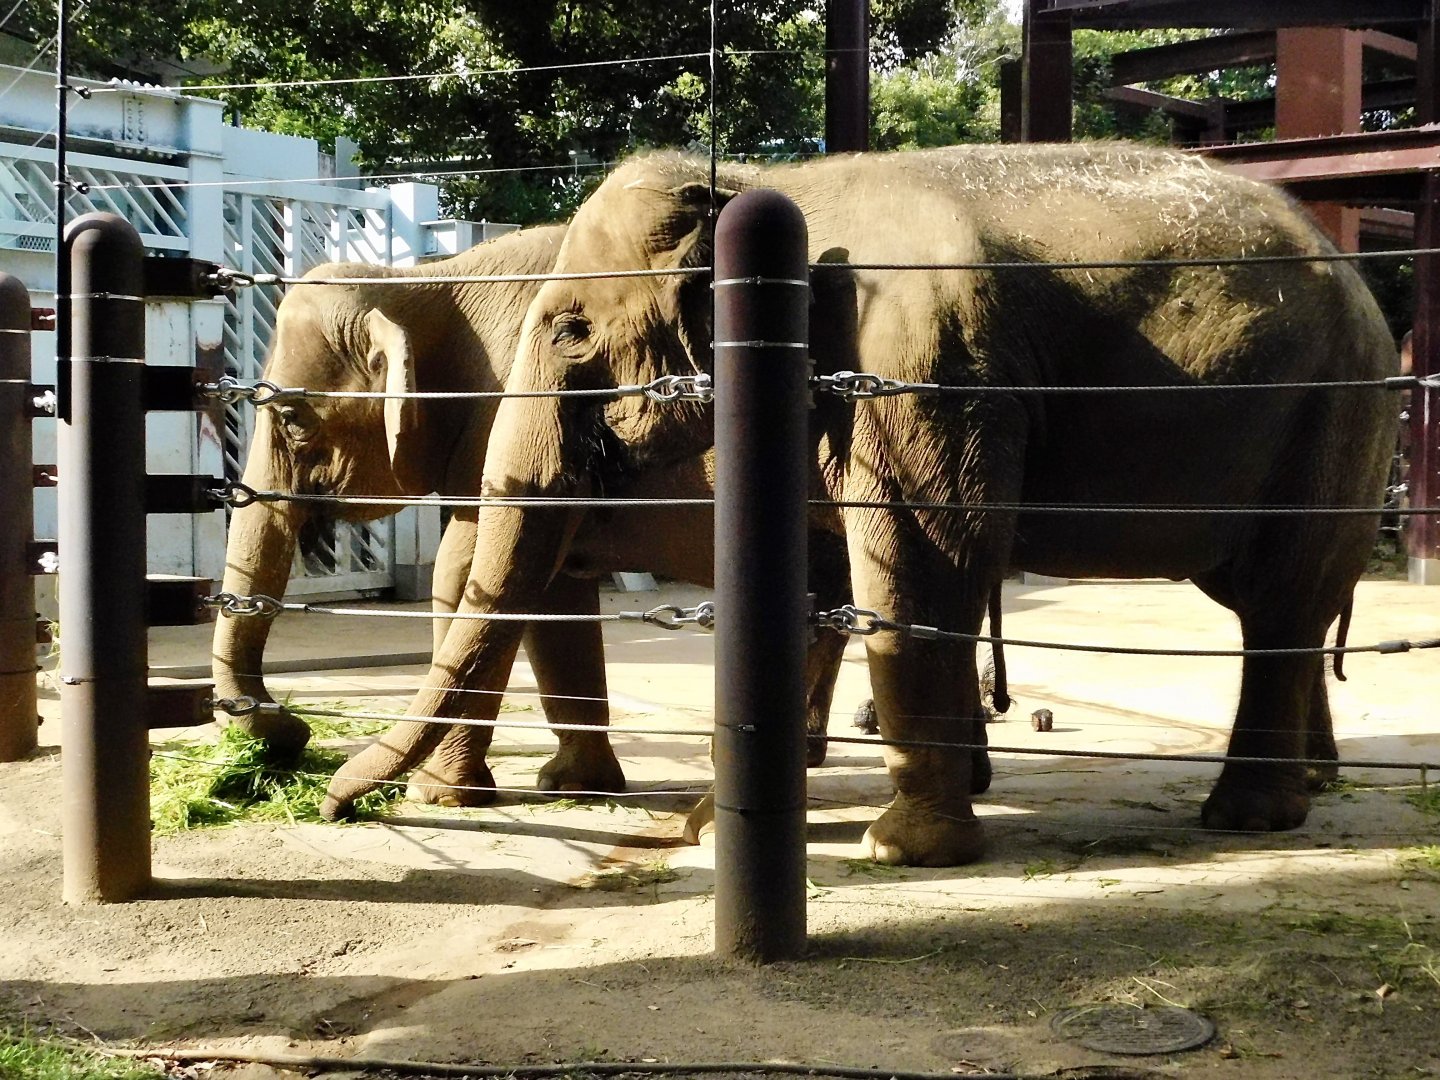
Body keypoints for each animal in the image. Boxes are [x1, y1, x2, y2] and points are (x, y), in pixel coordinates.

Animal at [213, 226, 855, 805]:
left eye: (293, 420)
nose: (295, 735)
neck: (424, 278)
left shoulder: (508, 418)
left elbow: (461, 574)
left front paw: (438, 795)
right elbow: (551, 596)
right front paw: (576, 786)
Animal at [320, 142, 1398, 866]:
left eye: (571, 329)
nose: (333, 807)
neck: (765, 183)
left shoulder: (918, 366)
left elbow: (924, 562)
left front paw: (901, 849)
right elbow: (810, 581)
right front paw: (723, 825)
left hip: (1336, 413)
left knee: (1283, 600)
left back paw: (1250, 817)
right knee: (1277, 607)